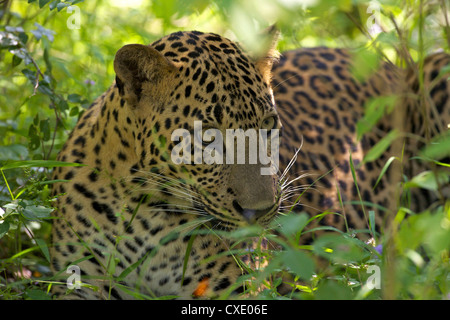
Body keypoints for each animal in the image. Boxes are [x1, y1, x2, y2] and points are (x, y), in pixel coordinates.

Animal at [50, 28, 450, 300]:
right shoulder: (76, 282)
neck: (149, 213)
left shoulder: (238, 288)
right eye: (207, 136)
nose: (261, 212)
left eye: (268, 124)